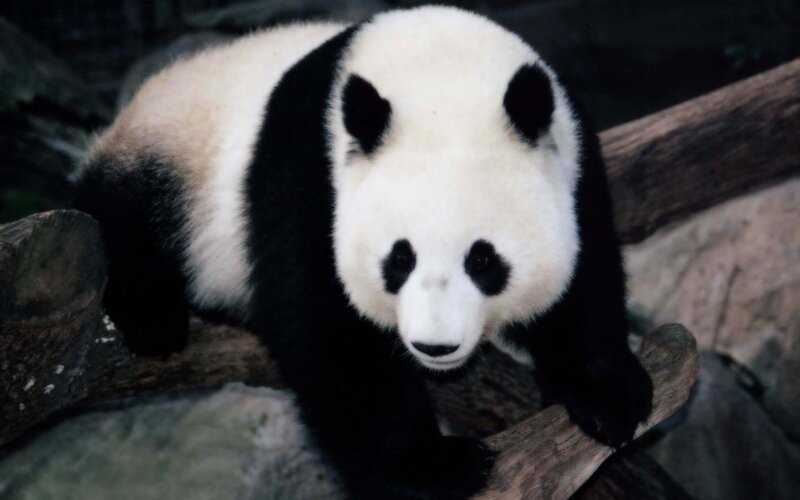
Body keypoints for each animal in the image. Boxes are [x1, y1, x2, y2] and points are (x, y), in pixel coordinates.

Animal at [74, 6, 652, 499]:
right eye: (400, 258)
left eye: (483, 260)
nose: (436, 347)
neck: (442, 77)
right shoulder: (309, 179)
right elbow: (328, 331)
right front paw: (434, 467)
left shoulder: (574, 159)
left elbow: (587, 273)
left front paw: (608, 395)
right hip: (175, 153)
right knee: (124, 216)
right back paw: (153, 319)